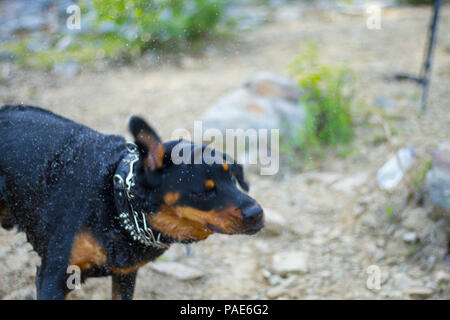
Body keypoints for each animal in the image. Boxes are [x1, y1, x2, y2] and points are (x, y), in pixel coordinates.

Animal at [0, 105, 266, 300]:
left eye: (232, 177)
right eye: (204, 192)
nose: (257, 212)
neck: (114, 202)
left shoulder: (125, 276)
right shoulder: (53, 277)